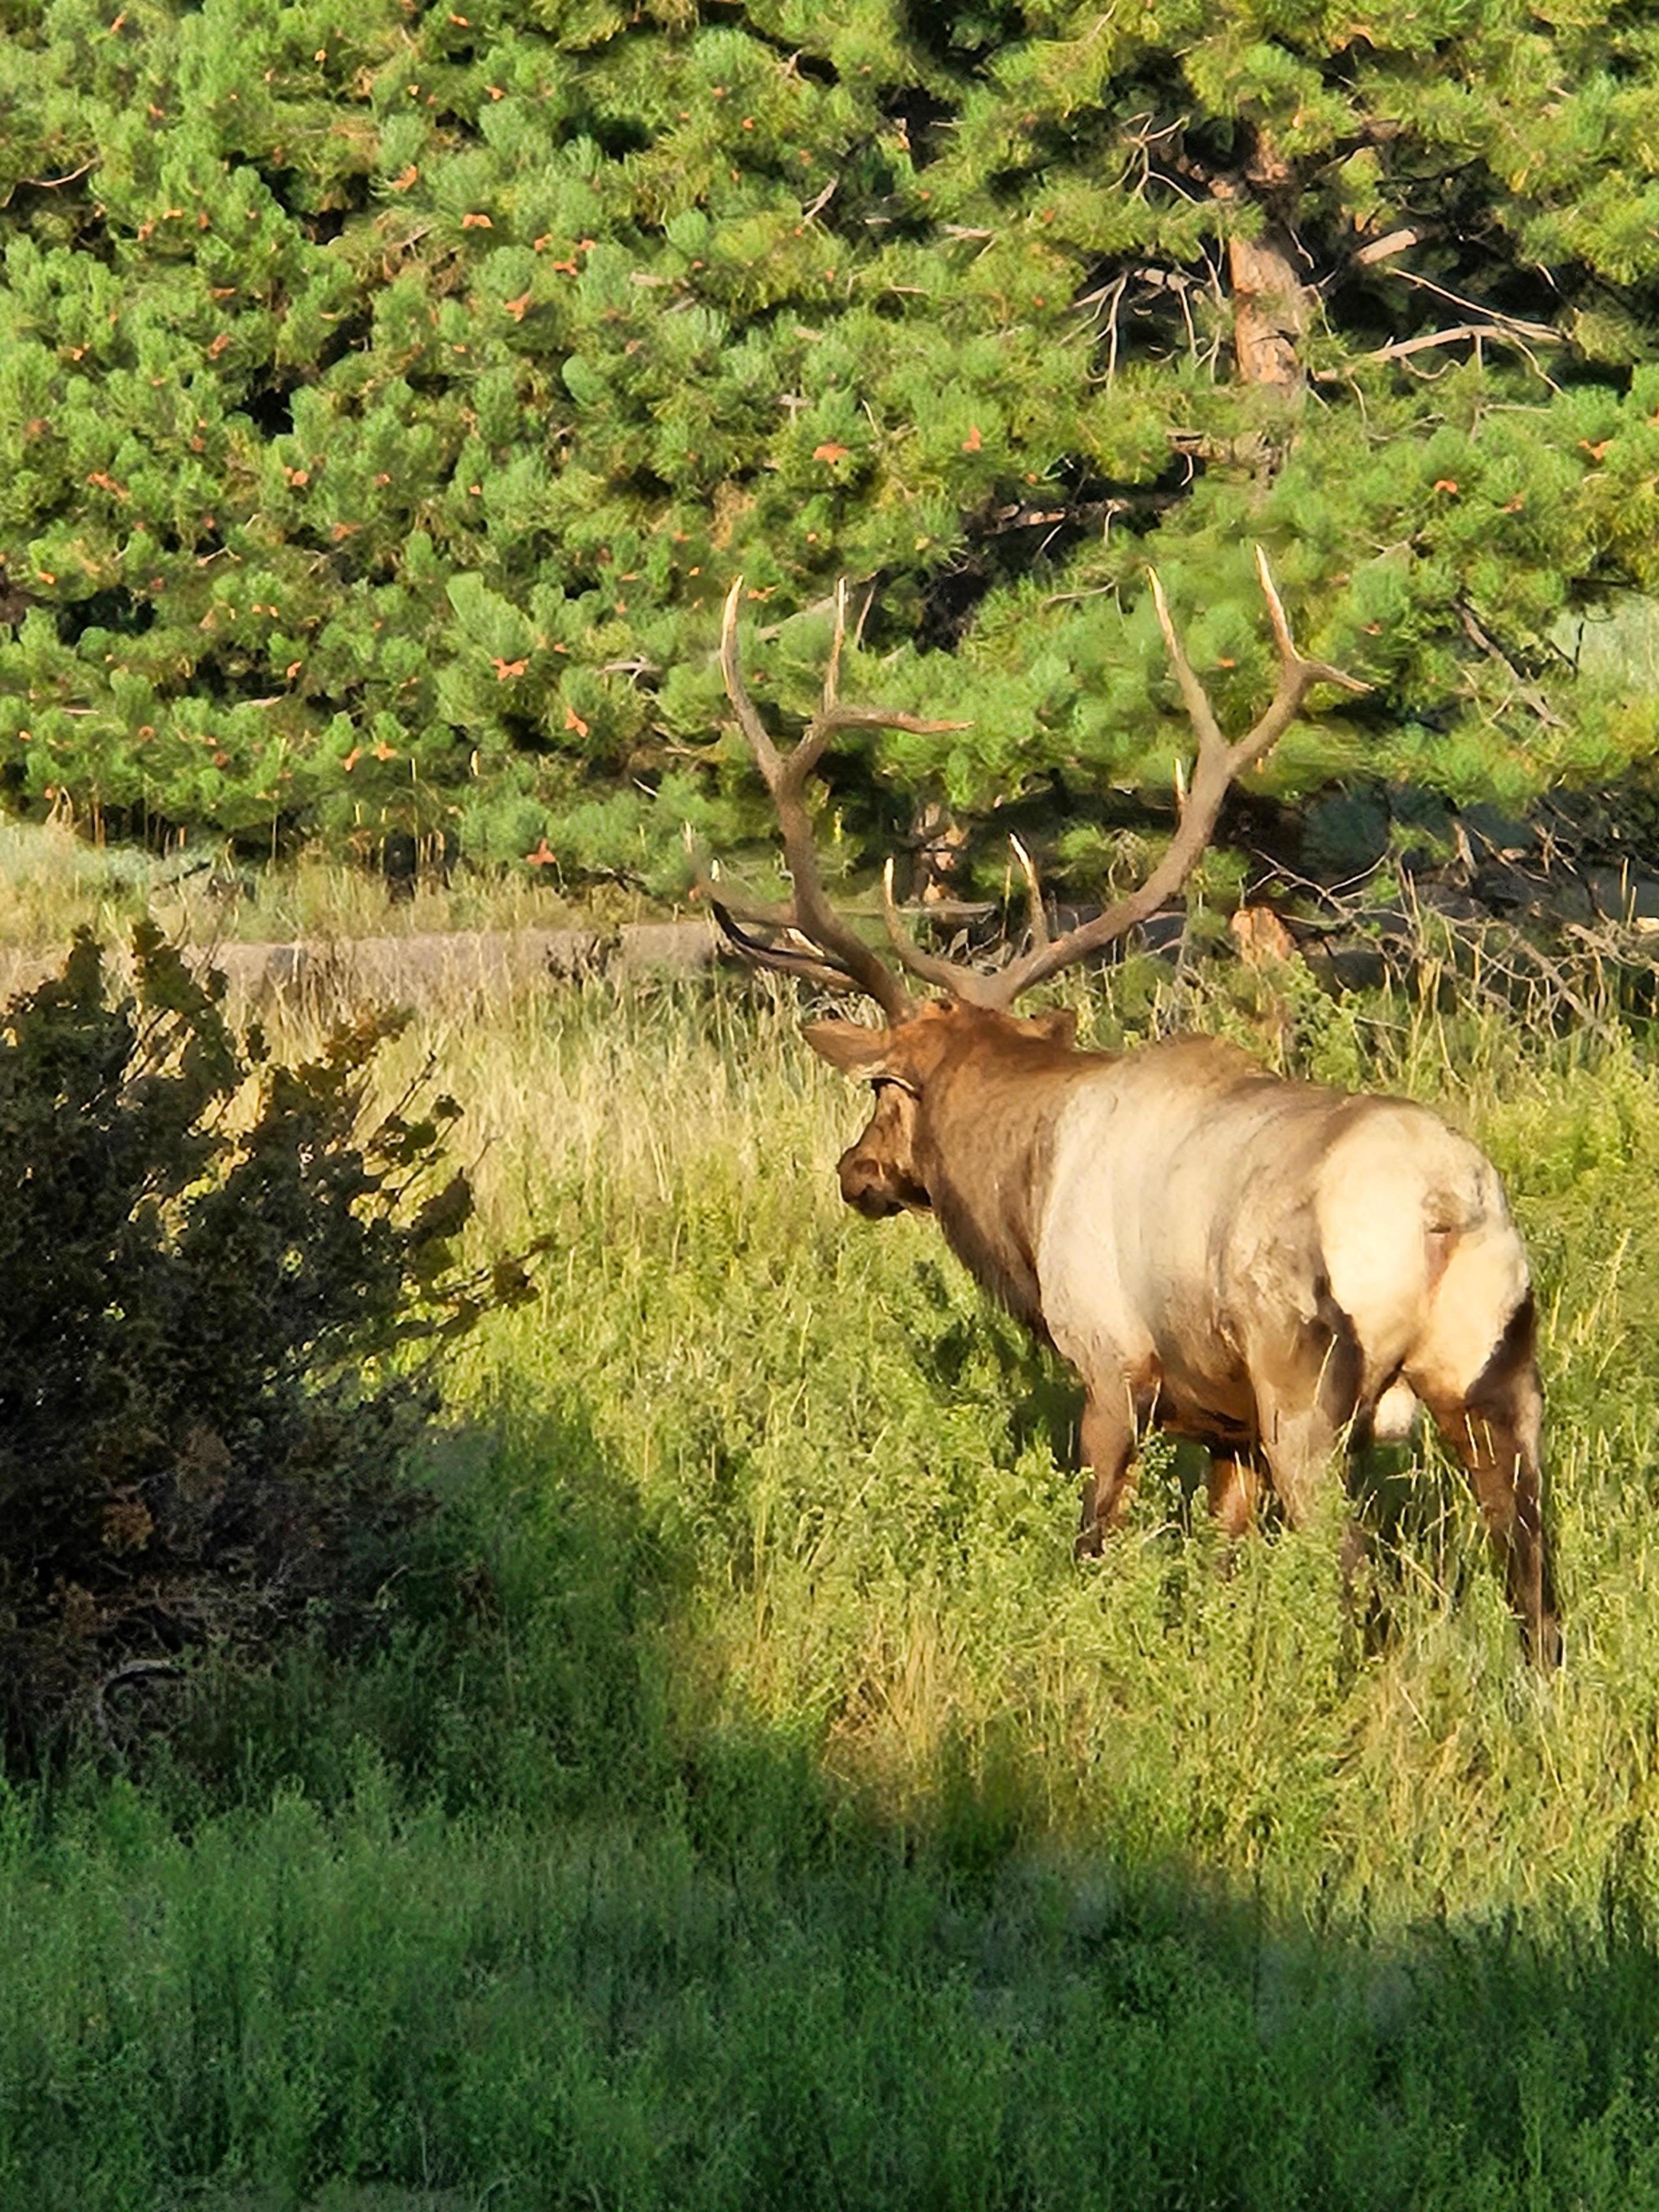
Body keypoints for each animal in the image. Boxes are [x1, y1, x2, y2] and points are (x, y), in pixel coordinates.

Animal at [703, 562, 1557, 1663]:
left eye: (883, 1091)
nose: (856, 1173)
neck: (1025, 1195)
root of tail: (1445, 1206)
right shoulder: (1228, 1427)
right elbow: (1226, 1561)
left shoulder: (1111, 1369)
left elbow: (1094, 1539)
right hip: (1503, 1376)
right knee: (1537, 1591)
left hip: (1308, 1384)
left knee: (1356, 1583)